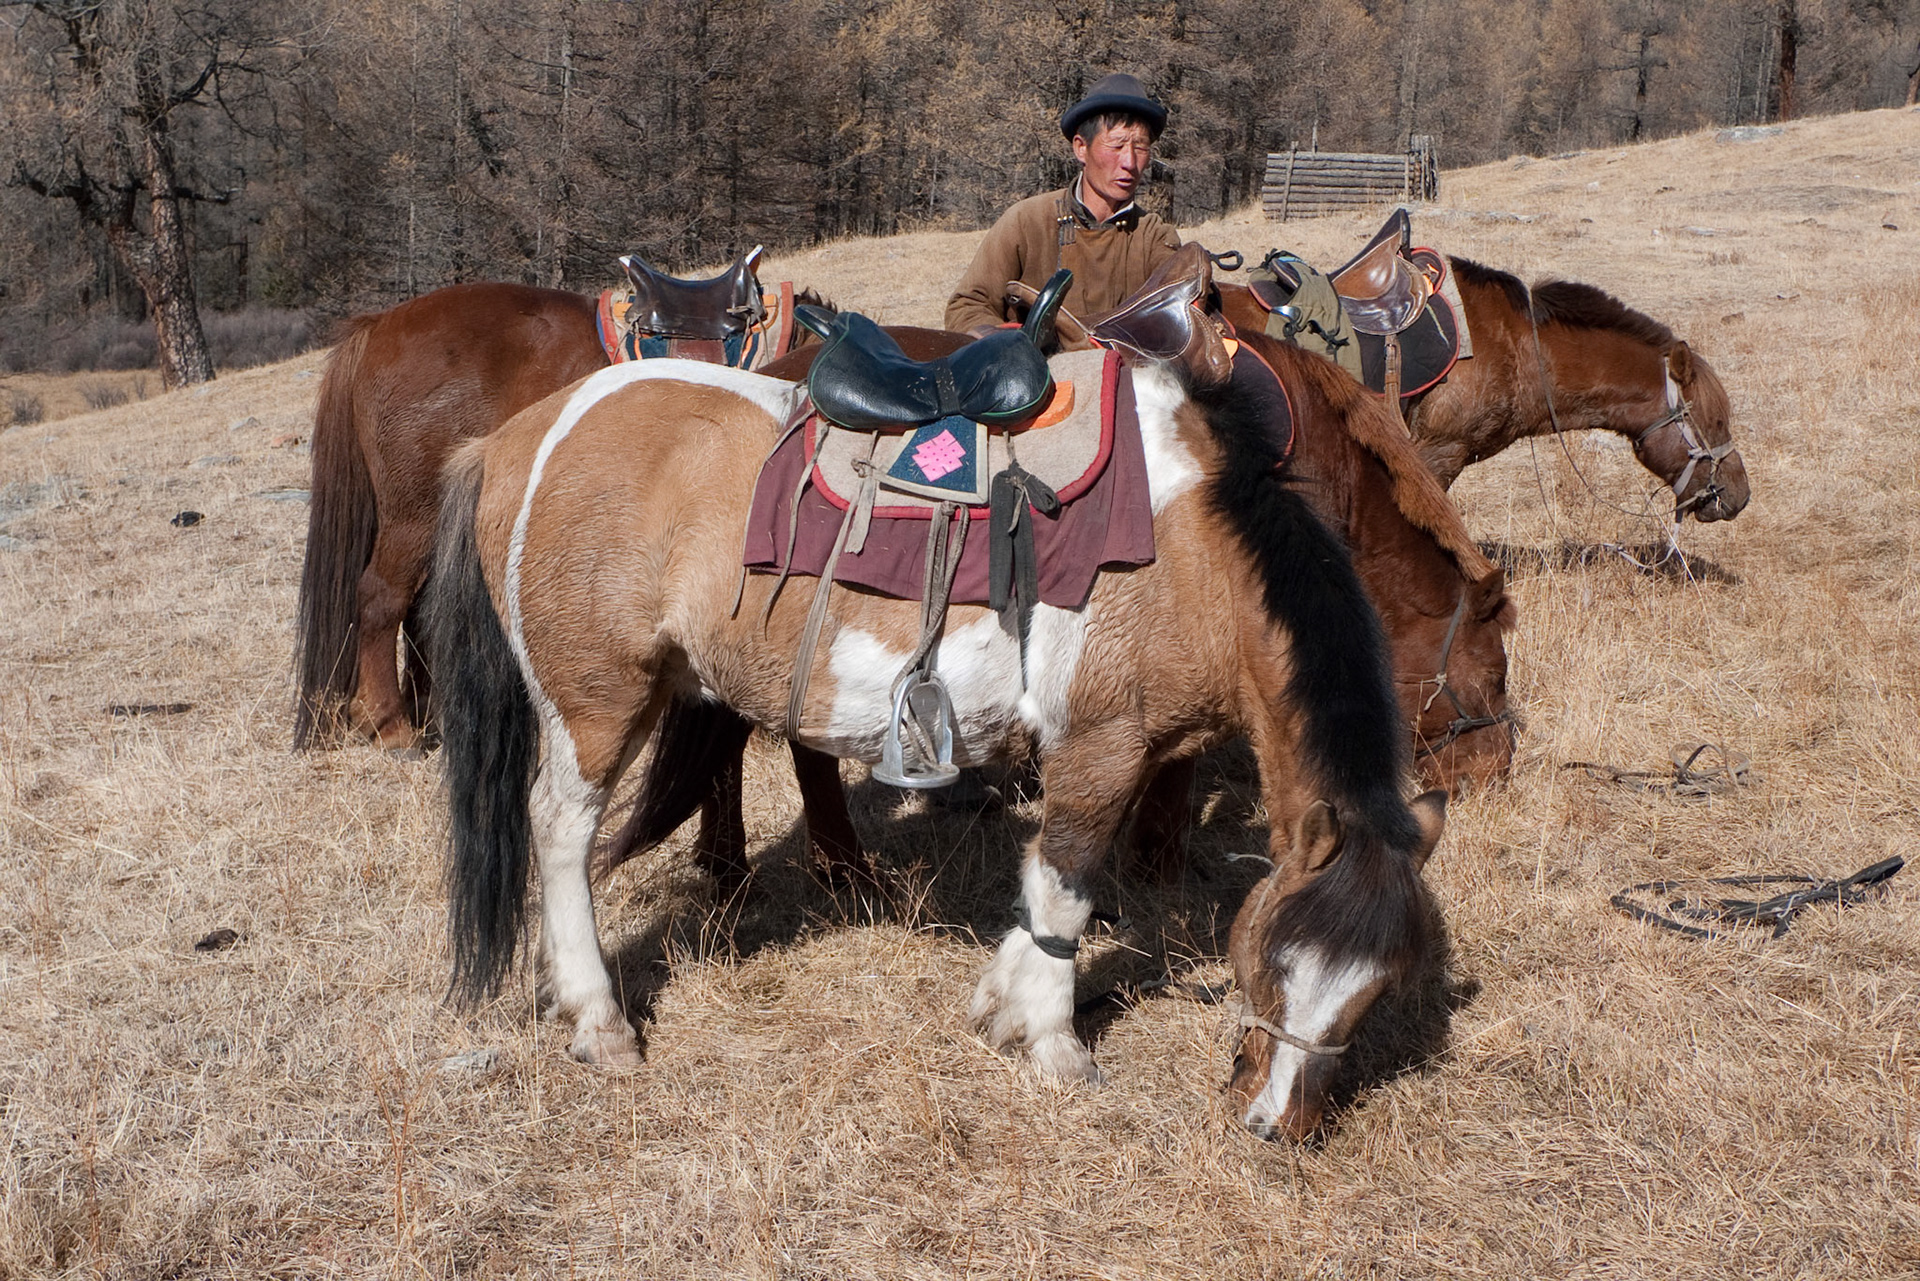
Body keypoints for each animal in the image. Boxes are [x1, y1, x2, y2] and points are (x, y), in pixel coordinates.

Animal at [424, 305, 1450, 1140]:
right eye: (1275, 960)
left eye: (1375, 991)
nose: (1275, 1124)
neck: (1195, 548)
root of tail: (510, 440)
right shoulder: (1102, 749)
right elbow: (1066, 885)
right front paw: (1052, 1041)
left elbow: (1044, 892)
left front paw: (1002, 1001)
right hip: (596, 703)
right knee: (562, 833)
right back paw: (600, 1021)